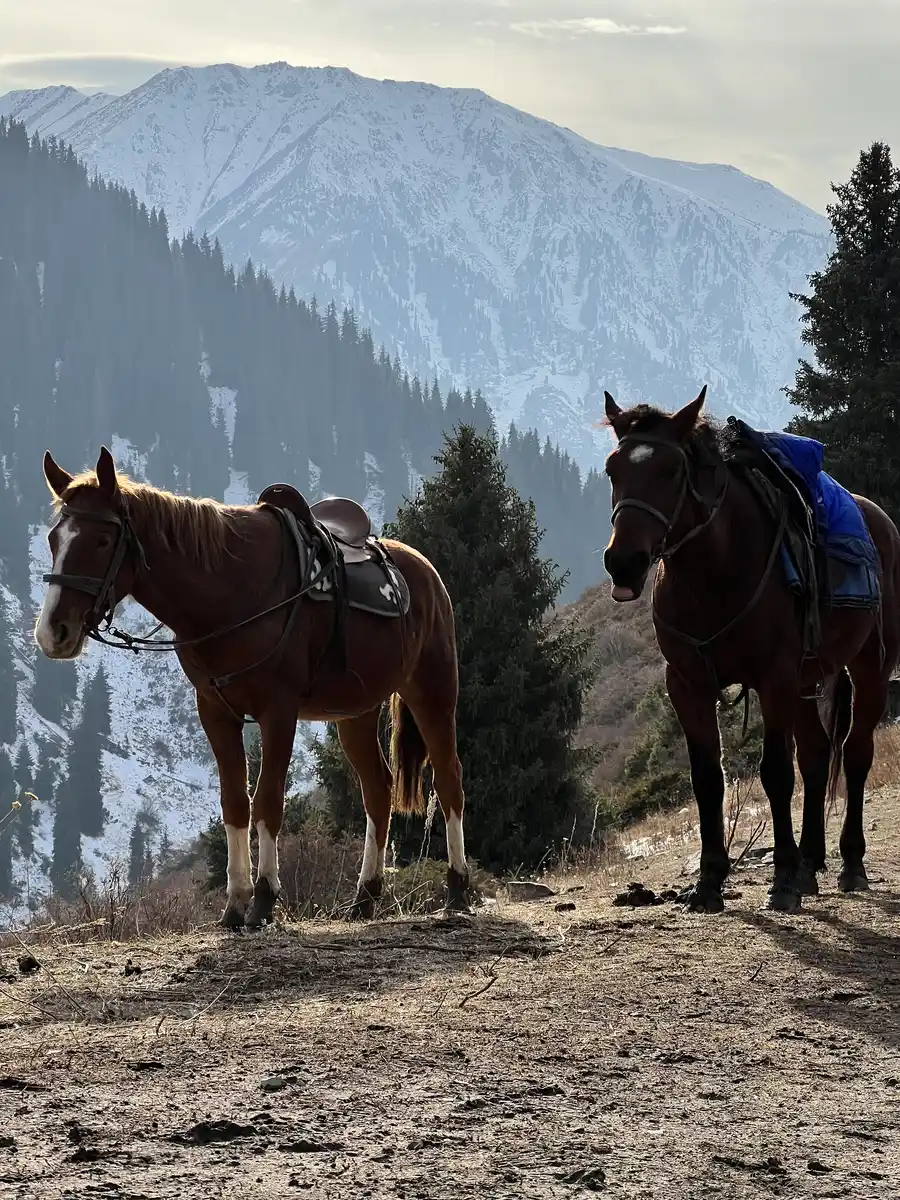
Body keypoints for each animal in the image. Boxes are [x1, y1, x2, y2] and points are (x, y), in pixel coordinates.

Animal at [35, 447, 472, 929]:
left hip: (432, 692)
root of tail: (425, 571)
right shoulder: (215, 712)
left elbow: (267, 802)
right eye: (55, 539)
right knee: (378, 789)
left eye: (101, 541)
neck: (230, 593)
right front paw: (234, 904)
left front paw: (263, 897)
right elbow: (234, 803)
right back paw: (365, 896)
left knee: (449, 780)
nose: (54, 632)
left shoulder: (277, 713)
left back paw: (457, 889)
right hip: (354, 713)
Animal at [602, 388, 900, 913]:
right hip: (807, 680)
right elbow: (707, 776)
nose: (623, 563)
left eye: (671, 472)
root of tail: (880, 520)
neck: (715, 572)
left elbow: (776, 772)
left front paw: (780, 881)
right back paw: (810, 864)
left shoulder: (773, 677)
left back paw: (848, 862)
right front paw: (709, 881)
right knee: (817, 754)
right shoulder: (688, 683)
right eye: (611, 470)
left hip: (870, 670)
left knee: (855, 753)